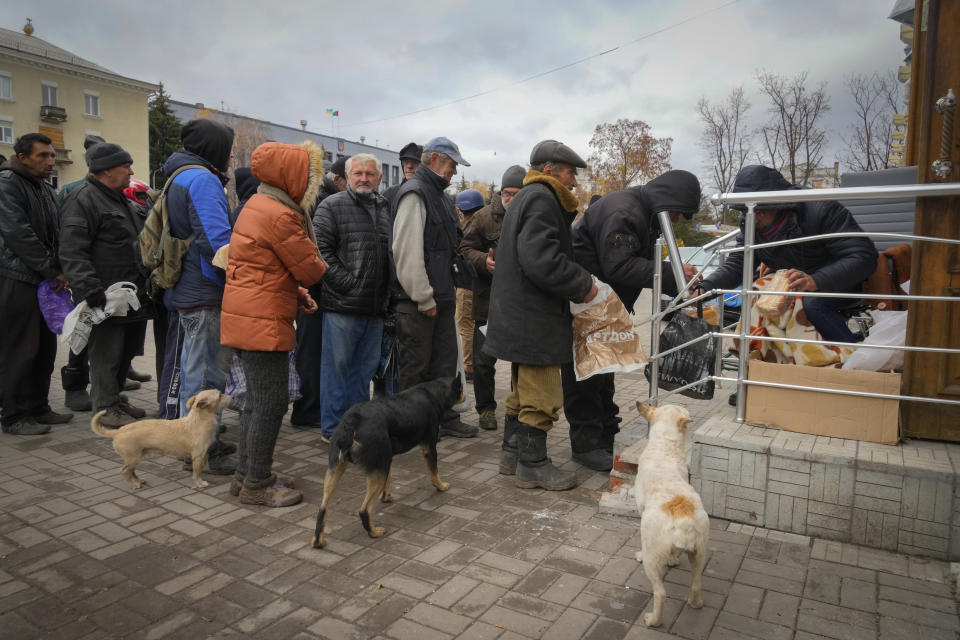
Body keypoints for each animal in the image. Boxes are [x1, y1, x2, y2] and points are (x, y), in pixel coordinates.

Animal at [92, 390, 232, 490]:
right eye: (220, 395)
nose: (232, 397)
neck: (199, 420)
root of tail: (118, 431)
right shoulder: (197, 456)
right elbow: (197, 473)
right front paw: (200, 484)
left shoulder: (203, 454)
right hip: (132, 458)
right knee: (124, 472)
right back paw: (133, 485)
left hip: (136, 457)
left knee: (131, 472)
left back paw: (138, 481)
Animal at [314, 378, 464, 548]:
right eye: (461, 388)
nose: (464, 395)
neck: (433, 392)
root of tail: (352, 422)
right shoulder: (429, 447)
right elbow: (434, 472)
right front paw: (441, 486)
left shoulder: (387, 458)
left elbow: (389, 480)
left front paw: (387, 497)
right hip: (374, 470)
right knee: (364, 510)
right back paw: (373, 532)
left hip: (337, 469)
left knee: (322, 509)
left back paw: (318, 540)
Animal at [632, 402, 708, 628]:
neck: (665, 446)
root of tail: (681, 511)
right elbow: (674, 553)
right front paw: (673, 560)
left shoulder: (640, 508)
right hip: (699, 554)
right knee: (696, 584)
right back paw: (696, 604)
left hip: (652, 559)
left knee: (661, 593)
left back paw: (653, 620)